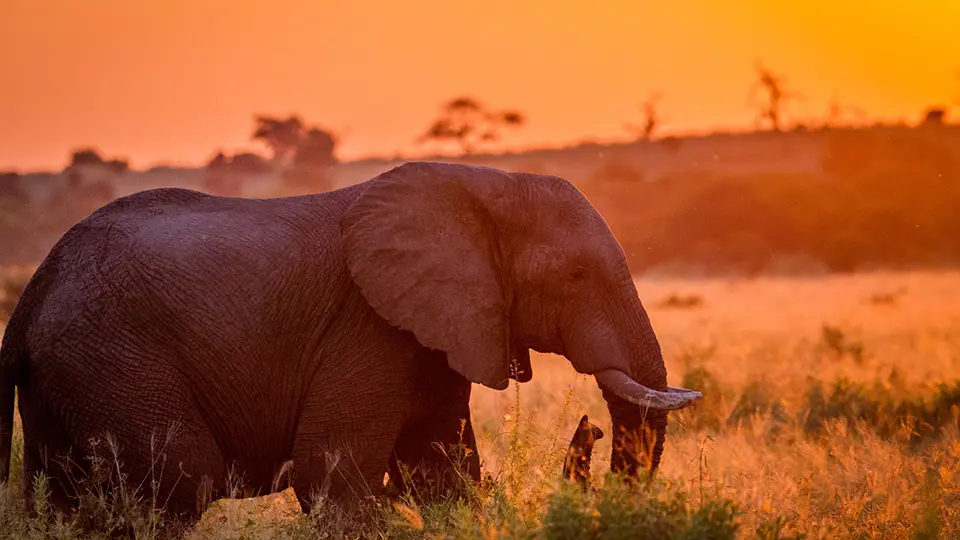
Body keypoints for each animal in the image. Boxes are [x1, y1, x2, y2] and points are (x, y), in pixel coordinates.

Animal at [0, 161, 701, 519]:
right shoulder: (367, 324)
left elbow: (440, 474)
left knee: (58, 498)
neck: (484, 187)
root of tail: (32, 294)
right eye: (576, 276)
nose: (591, 428)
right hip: (112, 358)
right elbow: (329, 477)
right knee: (183, 478)